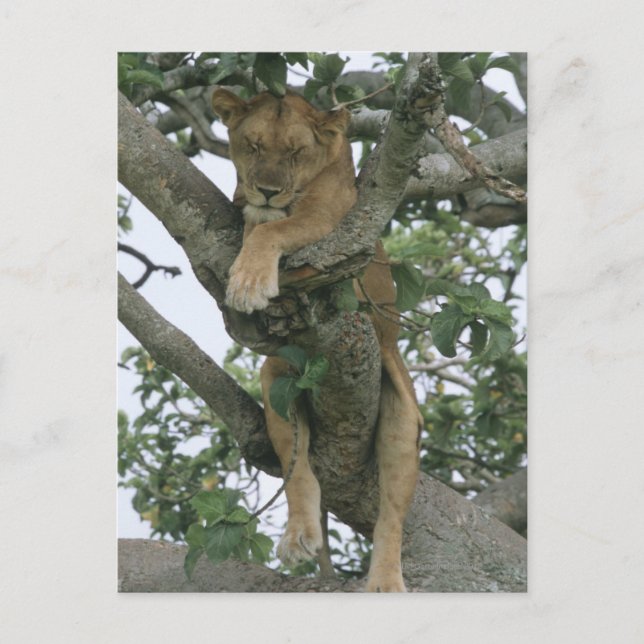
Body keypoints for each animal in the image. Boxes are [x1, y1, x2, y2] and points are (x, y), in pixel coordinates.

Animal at [212, 88, 421, 592]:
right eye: (253, 145)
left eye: (295, 152)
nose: (268, 190)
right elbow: (258, 223)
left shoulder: (332, 218)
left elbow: (273, 228)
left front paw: (248, 281)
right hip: (278, 378)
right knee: (299, 468)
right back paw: (300, 536)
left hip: (402, 416)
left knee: (391, 515)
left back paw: (385, 581)